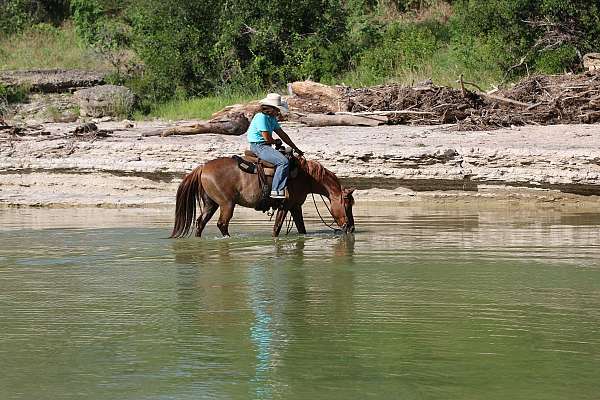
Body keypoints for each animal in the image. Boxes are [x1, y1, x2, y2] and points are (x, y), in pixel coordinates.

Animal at [171, 155, 354, 238]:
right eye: (347, 205)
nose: (351, 228)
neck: (306, 176)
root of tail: (202, 167)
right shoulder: (285, 206)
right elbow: (276, 229)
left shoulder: (295, 207)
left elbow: (302, 229)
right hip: (226, 204)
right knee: (222, 224)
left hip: (211, 204)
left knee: (200, 222)